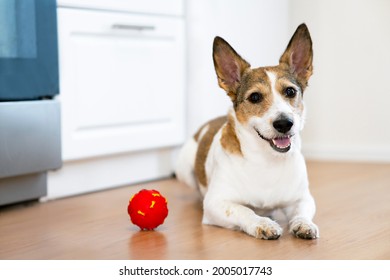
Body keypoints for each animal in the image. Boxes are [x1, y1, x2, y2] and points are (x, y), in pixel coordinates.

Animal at [175, 23, 318, 240]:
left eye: (290, 91)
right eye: (255, 97)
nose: (284, 123)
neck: (266, 161)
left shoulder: (302, 198)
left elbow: (302, 212)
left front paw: (303, 224)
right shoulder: (215, 204)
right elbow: (244, 210)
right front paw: (262, 223)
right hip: (183, 169)